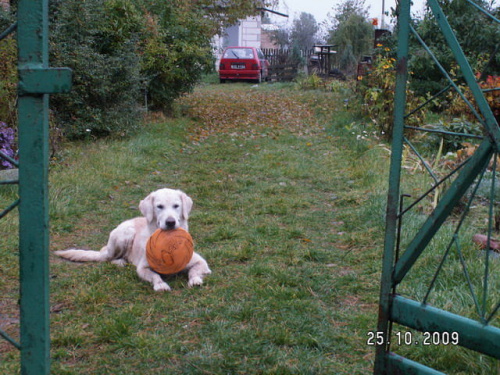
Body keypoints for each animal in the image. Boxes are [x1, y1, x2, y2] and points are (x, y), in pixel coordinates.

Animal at [53, 189, 210, 292]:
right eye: (159, 206)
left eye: (176, 206)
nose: (170, 222)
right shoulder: (142, 268)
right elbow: (154, 276)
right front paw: (160, 285)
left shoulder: (201, 262)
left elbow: (195, 270)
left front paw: (195, 280)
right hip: (125, 234)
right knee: (108, 257)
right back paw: (120, 262)